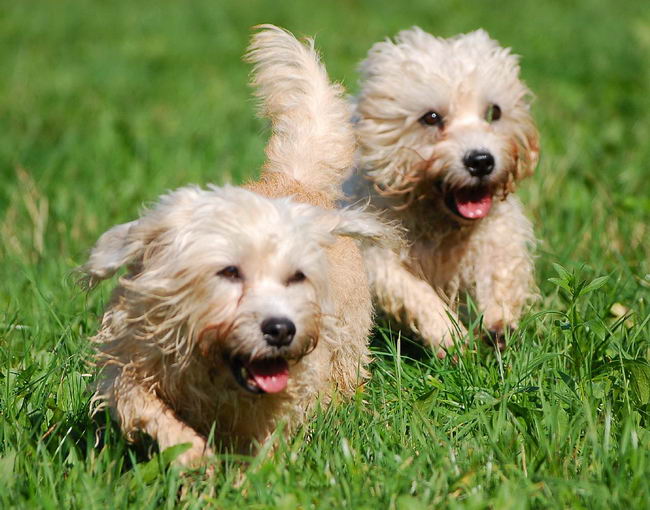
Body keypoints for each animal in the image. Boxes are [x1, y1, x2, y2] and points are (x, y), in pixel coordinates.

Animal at [81, 25, 394, 468]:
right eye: (229, 271)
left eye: (296, 277)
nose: (281, 328)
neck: (217, 366)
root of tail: (293, 181)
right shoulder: (133, 361)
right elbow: (144, 405)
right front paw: (193, 455)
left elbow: (264, 446)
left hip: (345, 348)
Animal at [346, 28, 540, 354]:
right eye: (431, 117)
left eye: (494, 112)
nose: (481, 161)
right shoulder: (374, 252)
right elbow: (412, 291)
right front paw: (449, 334)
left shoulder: (497, 233)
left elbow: (500, 272)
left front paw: (499, 325)